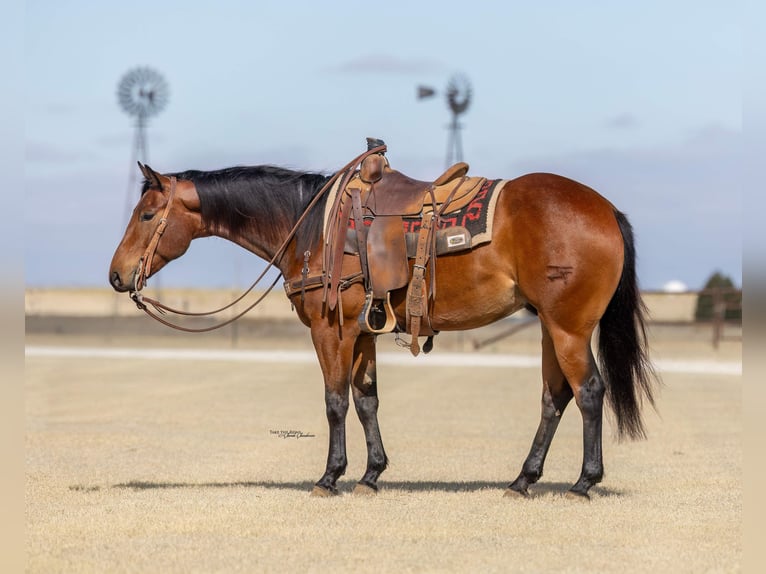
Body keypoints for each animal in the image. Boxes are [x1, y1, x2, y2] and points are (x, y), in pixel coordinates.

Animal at [109, 150, 656, 499]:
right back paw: (523, 480)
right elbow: (366, 400)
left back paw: (583, 483)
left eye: (147, 214)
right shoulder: (364, 333)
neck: (311, 227)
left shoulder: (331, 330)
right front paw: (371, 475)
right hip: (548, 325)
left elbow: (334, 401)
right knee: (554, 397)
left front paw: (330, 477)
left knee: (588, 392)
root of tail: (605, 209)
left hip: (568, 328)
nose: (116, 275)